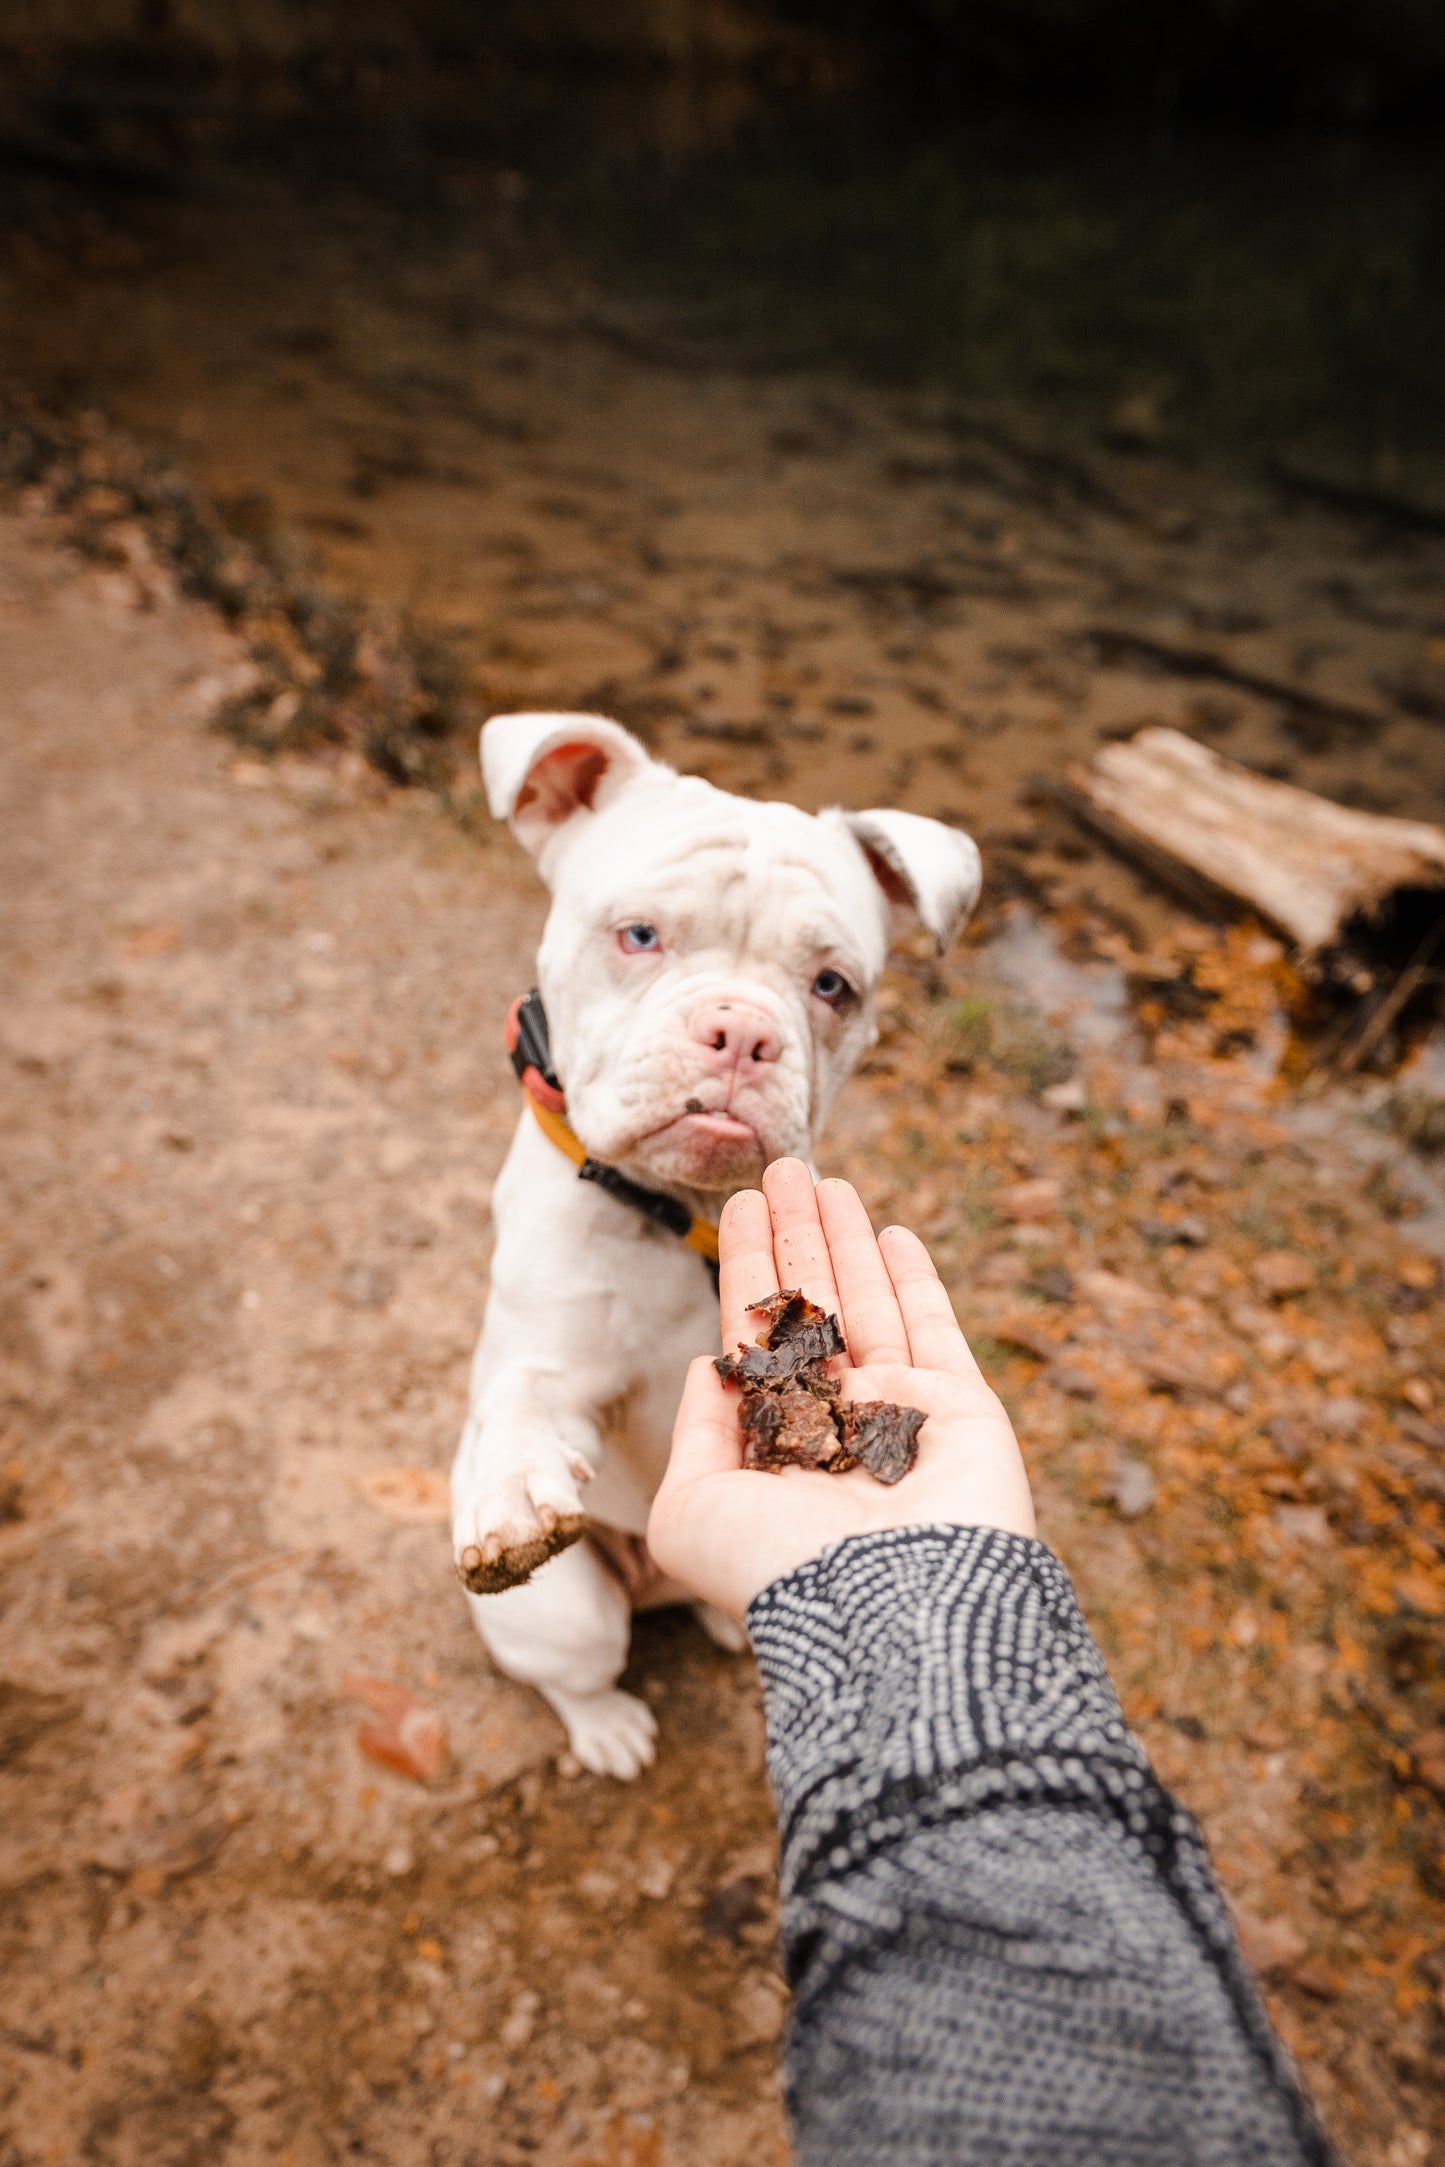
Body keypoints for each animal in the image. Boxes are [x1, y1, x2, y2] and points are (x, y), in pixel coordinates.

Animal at [454, 710, 983, 1776]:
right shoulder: (552, 1364)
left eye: (833, 986)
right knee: (576, 1668)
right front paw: (515, 1489)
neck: (683, 1207)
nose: (739, 1032)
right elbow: (528, 1407)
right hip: (571, 1616)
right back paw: (606, 1726)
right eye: (637, 936)